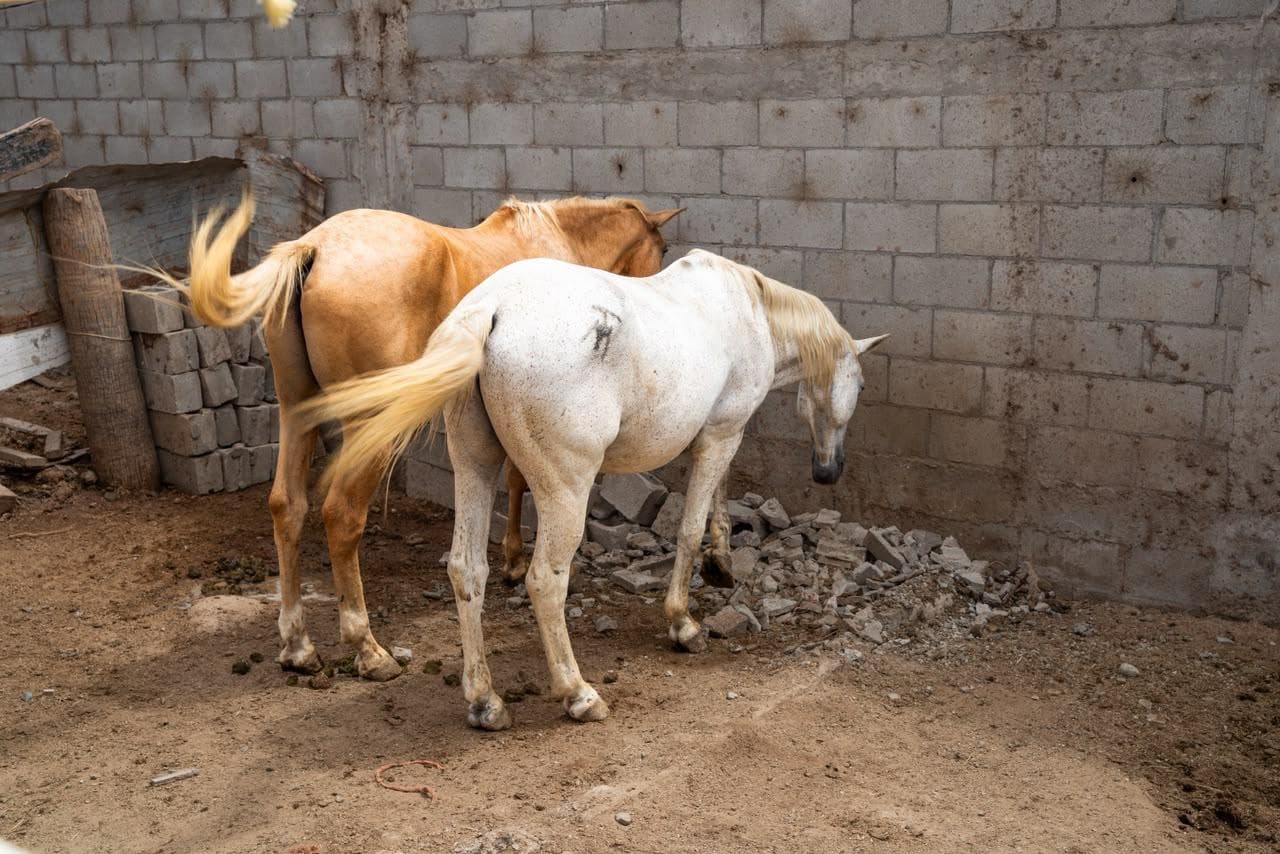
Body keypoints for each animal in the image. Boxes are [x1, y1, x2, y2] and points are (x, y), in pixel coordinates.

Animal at [175, 192, 680, 682]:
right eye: (662, 252)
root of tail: (314, 249)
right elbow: (519, 480)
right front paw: (517, 561)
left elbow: (513, 480)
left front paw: (512, 560)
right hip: (372, 426)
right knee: (341, 515)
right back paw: (368, 649)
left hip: (297, 410)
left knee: (287, 506)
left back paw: (298, 645)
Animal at [296, 250, 887, 729]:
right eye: (859, 384)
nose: (828, 471)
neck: (751, 309)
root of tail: (490, 310)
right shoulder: (721, 434)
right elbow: (689, 527)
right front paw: (683, 623)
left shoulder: (719, 433)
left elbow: (718, 499)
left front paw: (721, 562)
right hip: (565, 489)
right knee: (544, 580)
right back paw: (578, 694)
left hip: (475, 467)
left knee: (467, 569)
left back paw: (485, 701)